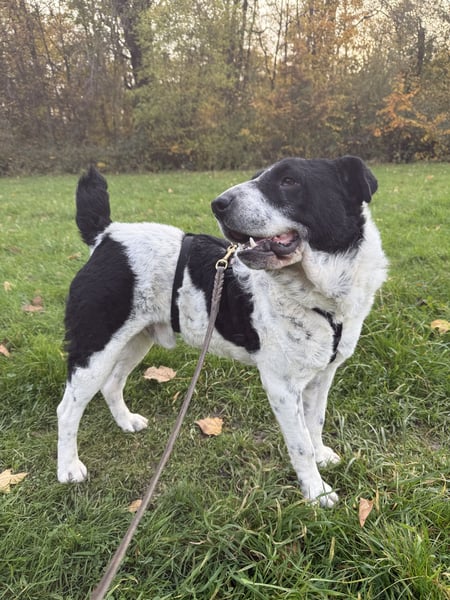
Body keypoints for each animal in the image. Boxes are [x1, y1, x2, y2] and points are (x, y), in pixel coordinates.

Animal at [57, 156, 387, 507]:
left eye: (289, 181)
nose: (219, 204)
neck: (321, 299)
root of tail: (107, 234)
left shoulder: (322, 374)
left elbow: (316, 423)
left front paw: (322, 456)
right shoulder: (281, 386)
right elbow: (300, 446)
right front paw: (316, 491)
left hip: (136, 339)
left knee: (111, 384)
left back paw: (126, 421)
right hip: (95, 348)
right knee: (68, 409)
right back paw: (68, 468)